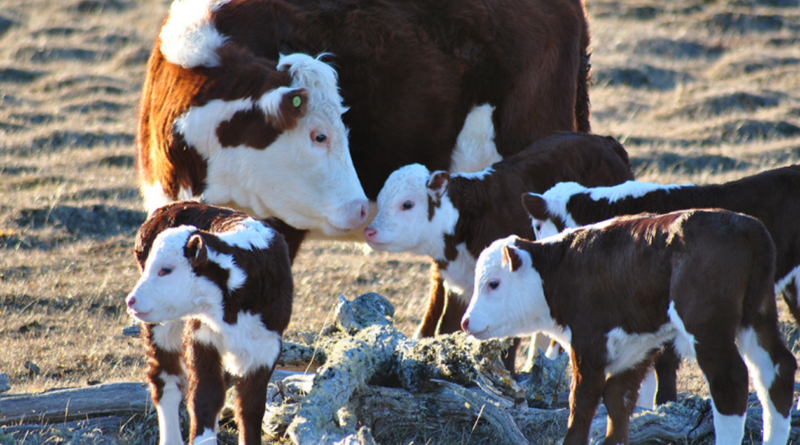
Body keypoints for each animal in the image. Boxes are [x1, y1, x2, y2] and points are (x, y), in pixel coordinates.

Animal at [460, 210, 796, 444]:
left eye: (493, 283)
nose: (465, 321)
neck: (560, 269)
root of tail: (749, 228)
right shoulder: (637, 348)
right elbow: (618, 401)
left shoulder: (588, 345)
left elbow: (581, 404)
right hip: (757, 317)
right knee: (777, 370)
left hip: (707, 327)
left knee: (730, 381)